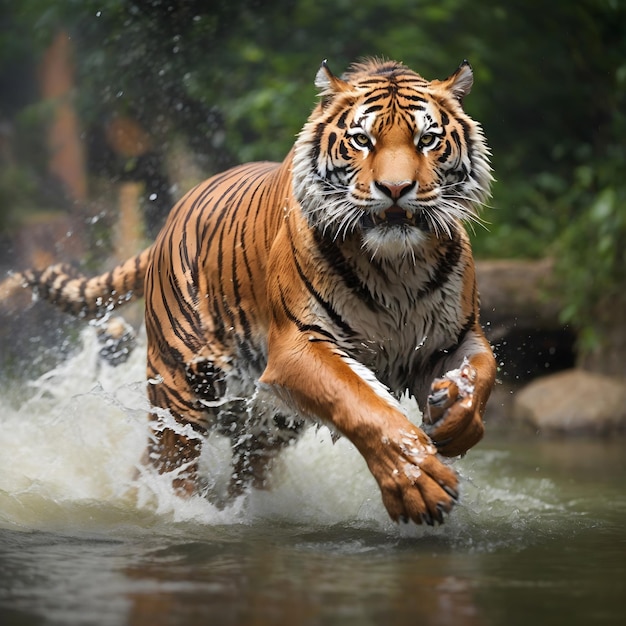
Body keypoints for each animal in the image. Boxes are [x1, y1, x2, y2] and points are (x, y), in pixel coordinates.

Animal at [3, 61, 492, 524]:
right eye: (361, 140)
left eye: (427, 140)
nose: (394, 189)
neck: (395, 266)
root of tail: (170, 220)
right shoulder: (299, 346)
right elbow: (363, 404)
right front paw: (418, 481)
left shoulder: (453, 337)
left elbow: (480, 376)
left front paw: (452, 421)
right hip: (183, 386)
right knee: (169, 465)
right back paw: (178, 511)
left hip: (266, 423)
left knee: (242, 469)